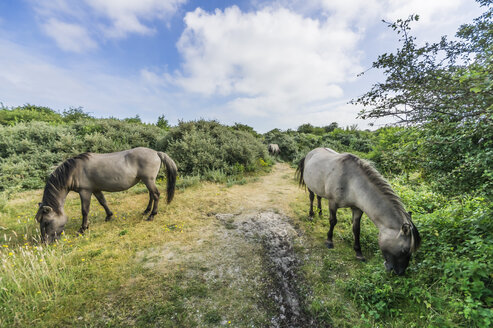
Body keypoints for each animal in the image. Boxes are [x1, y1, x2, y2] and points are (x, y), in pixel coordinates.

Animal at [35, 147, 177, 242]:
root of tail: (156, 152)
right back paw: (146, 211)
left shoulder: (85, 191)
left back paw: (152, 215)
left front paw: (83, 228)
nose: (44, 242)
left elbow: (85, 210)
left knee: (156, 195)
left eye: (46, 222)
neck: (74, 170)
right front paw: (109, 216)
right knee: (151, 195)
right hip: (147, 181)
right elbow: (103, 202)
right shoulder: (96, 189)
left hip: (148, 180)